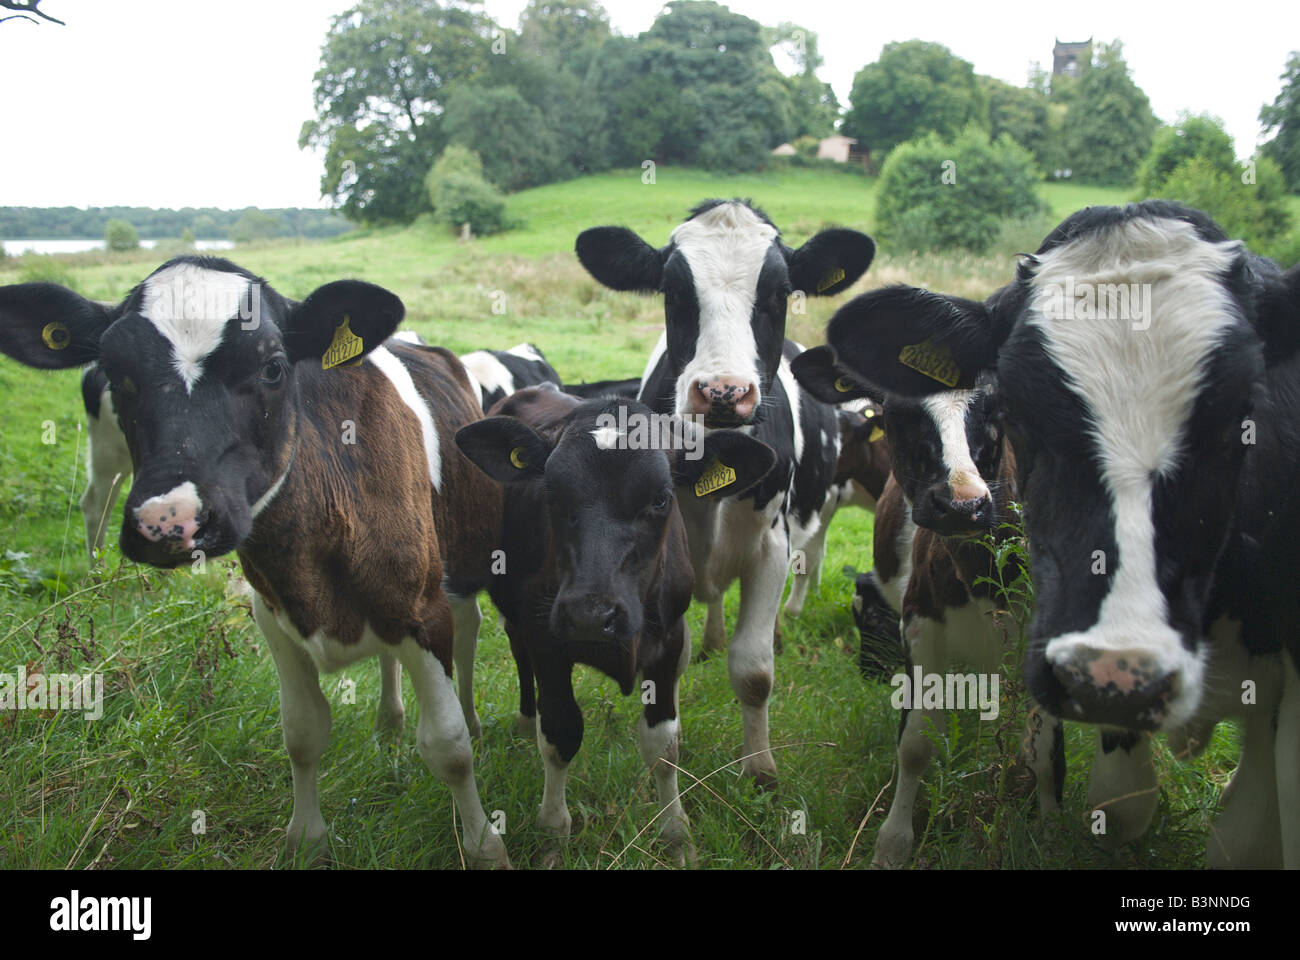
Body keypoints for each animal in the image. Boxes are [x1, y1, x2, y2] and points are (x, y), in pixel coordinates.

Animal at [2, 254, 514, 868]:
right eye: (115, 372)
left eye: (273, 367)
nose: (168, 520)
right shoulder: (273, 615)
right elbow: (303, 732)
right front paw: (307, 839)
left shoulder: (421, 607)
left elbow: (448, 745)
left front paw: (484, 845)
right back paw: (388, 724)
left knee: (469, 633)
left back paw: (471, 718)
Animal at [457, 385, 769, 863]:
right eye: (551, 492)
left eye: (661, 497)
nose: (591, 616)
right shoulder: (546, 637)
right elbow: (561, 732)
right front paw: (553, 836)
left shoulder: (670, 638)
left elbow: (662, 744)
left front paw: (677, 836)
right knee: (518, 655)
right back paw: (526, 721)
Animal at [577, 197, 873, 780]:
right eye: (672, 292)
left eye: (780, 292)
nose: (722, 392)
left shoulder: (772, 546)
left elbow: (754, 670)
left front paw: (759, 770)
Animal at [795, 348, 1164, 858]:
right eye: (896, 411)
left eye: (998, 407)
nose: (961, 504)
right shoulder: (920, 624)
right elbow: (916, 742)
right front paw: (894, 840)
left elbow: (1044, 752)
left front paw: (1049, 828)